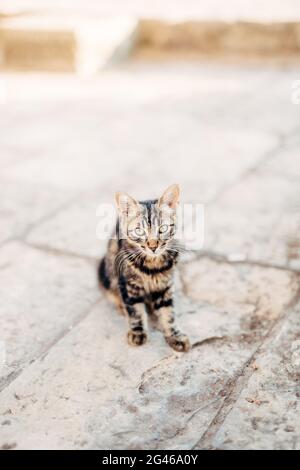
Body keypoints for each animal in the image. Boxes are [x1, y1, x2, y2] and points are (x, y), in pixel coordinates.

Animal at [99, 185, 191, 352]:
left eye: (162, 228)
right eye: (139, 231)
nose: (153, 246)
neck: (153, 265)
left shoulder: (165, 286)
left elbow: (168, 313)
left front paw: (175, 335)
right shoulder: (129, 285)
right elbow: (135, 310)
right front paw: (137, 332)